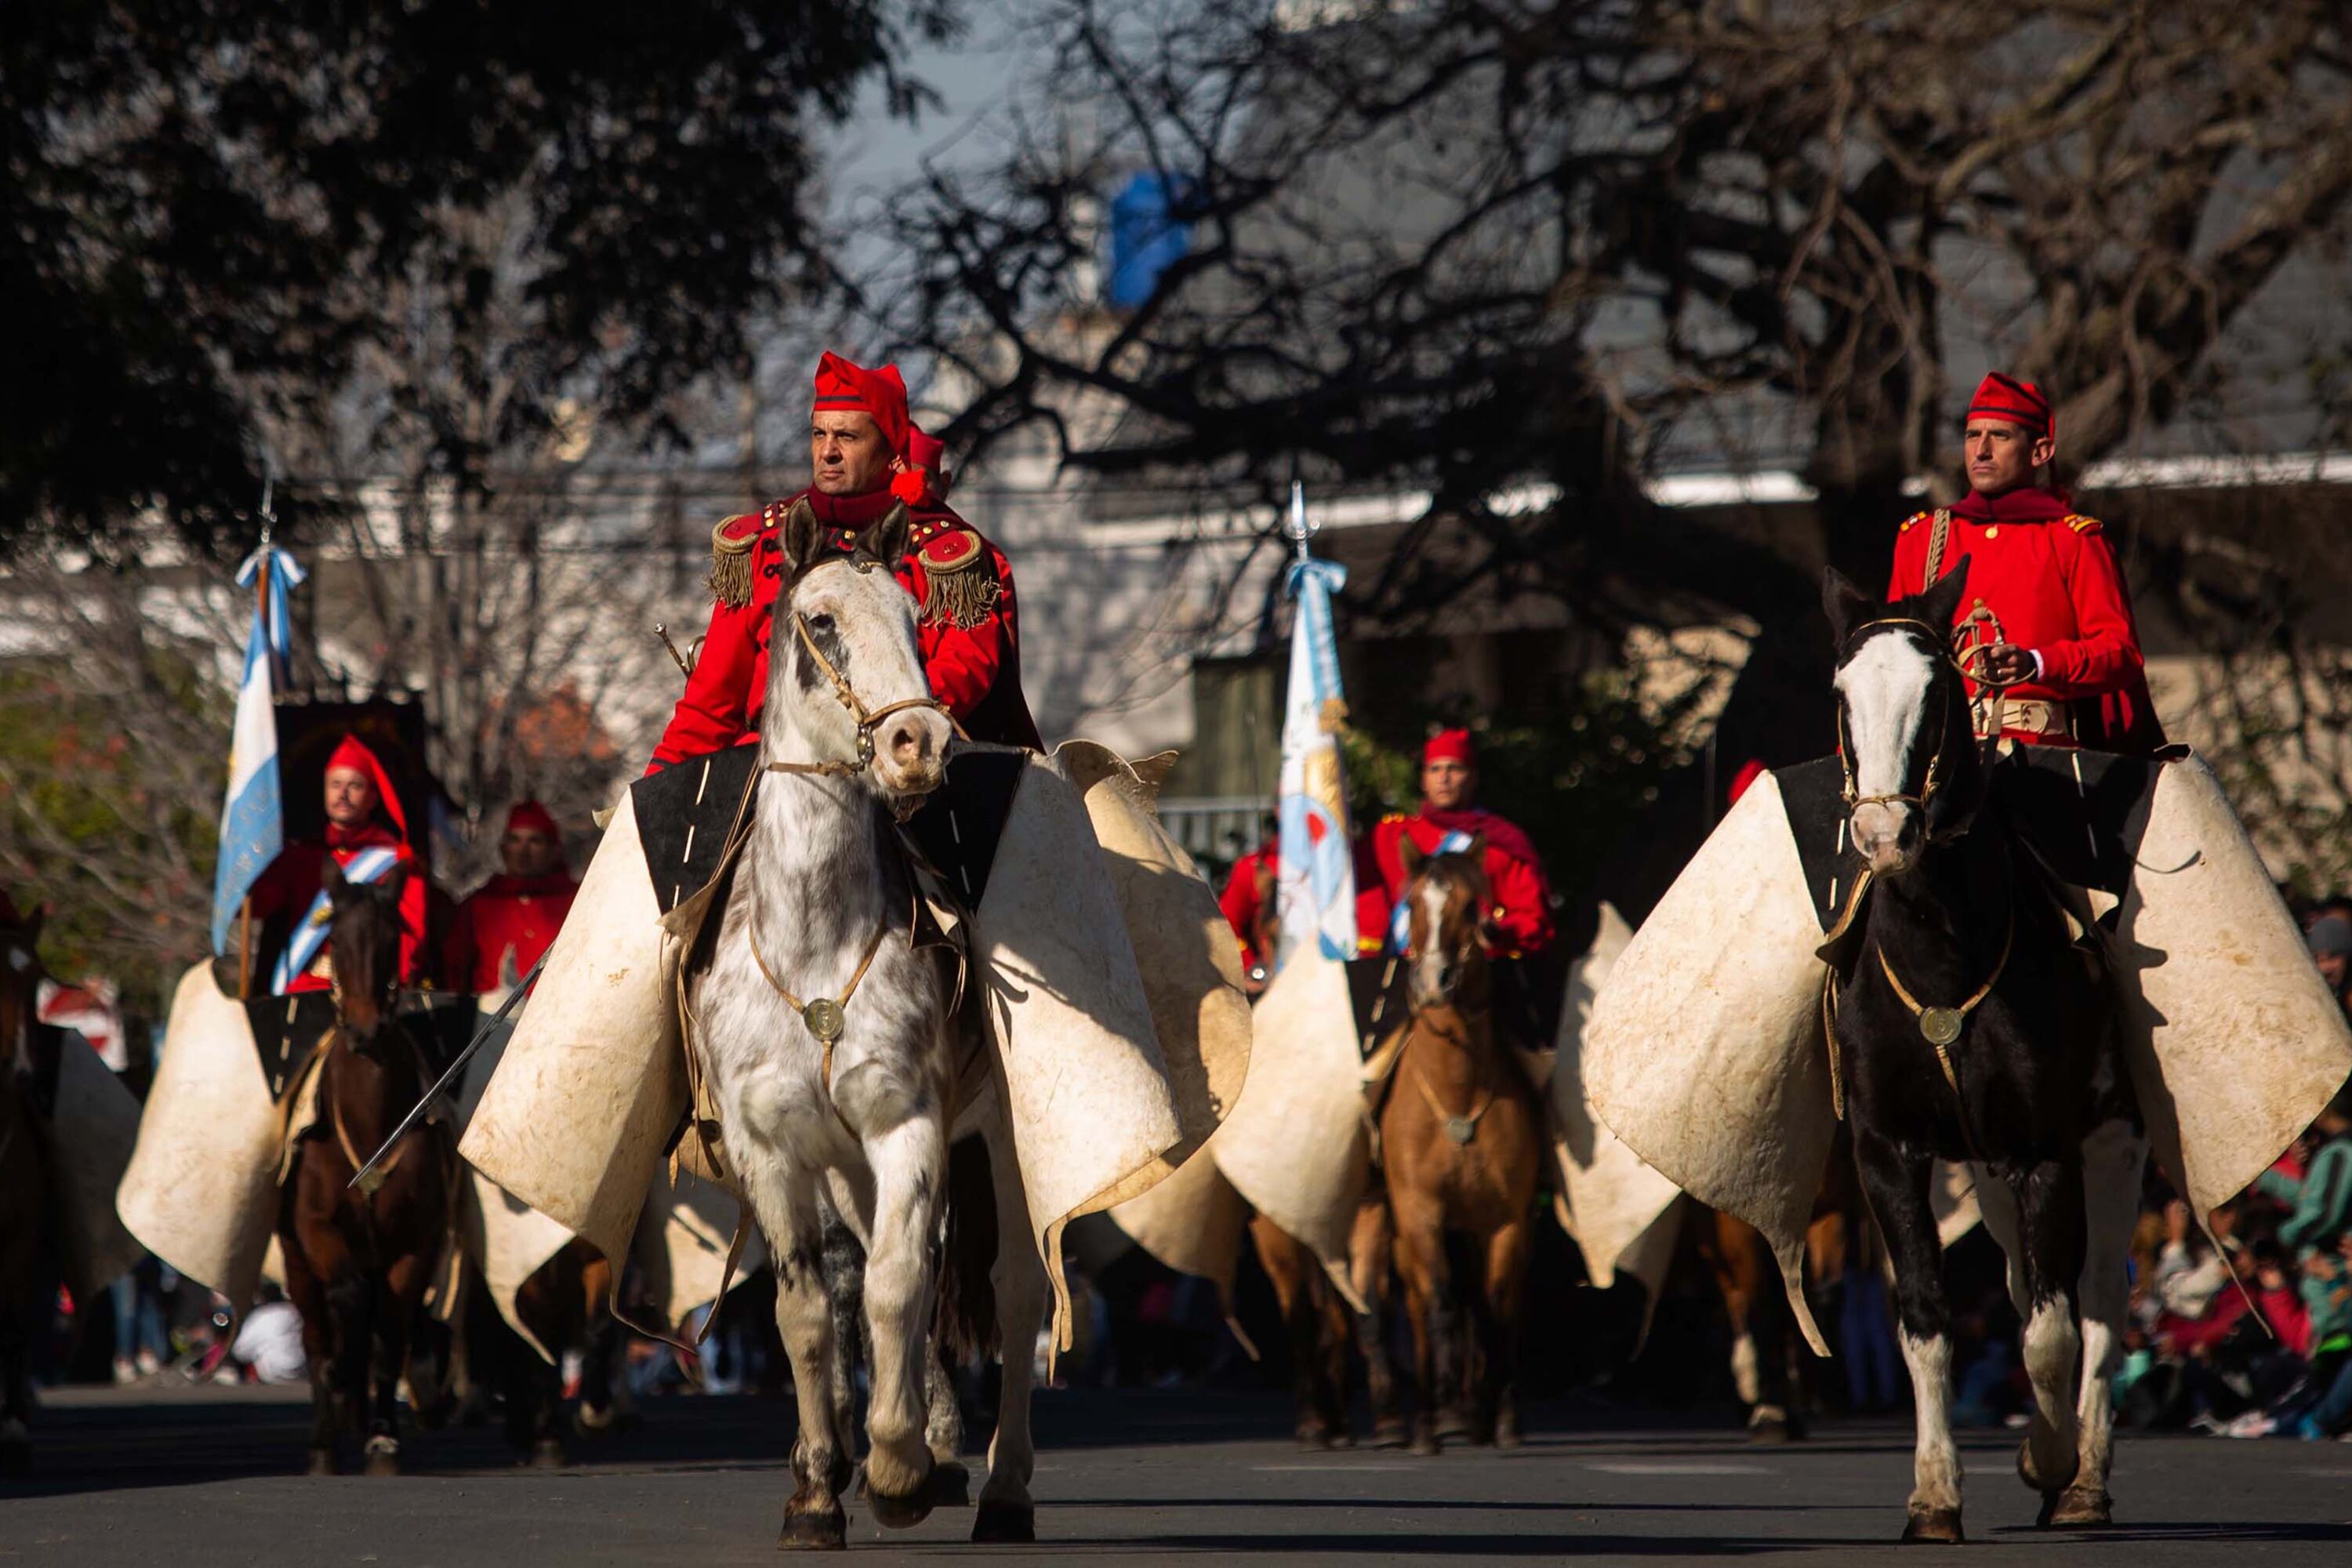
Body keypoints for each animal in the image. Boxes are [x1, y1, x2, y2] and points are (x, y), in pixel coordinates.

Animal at [275, 861, 455, 1476]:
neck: (374, 1125)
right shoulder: (317, 1231)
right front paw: (342, 1394)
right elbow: (348, 1307)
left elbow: (392, 1333)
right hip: (297, 1264)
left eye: (392, 939)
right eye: (333, 938)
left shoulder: (415, 1245)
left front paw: (383, 1435)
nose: (365, 1030)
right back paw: (324, 1435)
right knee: (316, 1333)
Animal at [686, 503, 1045, 1549]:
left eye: (918, 617)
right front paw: (817, 1488)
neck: (814, 943)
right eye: (821, 621)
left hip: (1006, 1137)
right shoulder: (773, 1147)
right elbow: (808, 1307)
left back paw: (1000, 1487)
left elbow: (894, 1283)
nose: (918, 741)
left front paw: (894, 1467)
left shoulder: (906, 1122)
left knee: (1011, 1287)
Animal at [1377, 839, 1544, 1454]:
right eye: (1410, 904)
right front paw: (1437, 1416)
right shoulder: (1419, 1213)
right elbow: (1439, 1304)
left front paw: (1501, 1419)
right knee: (1425, 1307)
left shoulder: (1507, 1220)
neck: (1457, 1094)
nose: (1434, 982)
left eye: (1474, 906)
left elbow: (1496, 1308)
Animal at [1823, 559, 2146, 1540]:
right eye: (1842, 693)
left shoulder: (2046, 1146)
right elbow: (1928, 1319)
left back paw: (2083, 1480)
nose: (1885, 834)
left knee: (2099, 1298)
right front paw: (1933, 1494)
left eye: (1938, 692)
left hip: (2112, 1141)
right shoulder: (1888, 1150)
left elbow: (2050, 1329)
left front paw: (2049, 1457)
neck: (1946, 952)